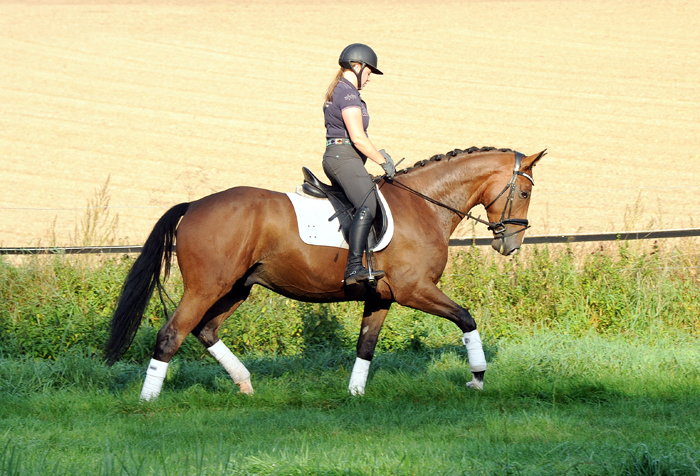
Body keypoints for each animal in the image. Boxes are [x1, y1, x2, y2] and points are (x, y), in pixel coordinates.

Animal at [105, 145, 548, 398]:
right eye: (525, 191)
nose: (511, 244)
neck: (424, 205)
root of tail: (195, 204)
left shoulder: (381, 297)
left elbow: (366, 346)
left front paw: (355, 393)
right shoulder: (414, 290)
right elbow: (466, 318)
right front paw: (477, 377)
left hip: (237, 287)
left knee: (205, 330)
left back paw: (245, 384)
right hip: (206, 286)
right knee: (172, 334)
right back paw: (148, 401)